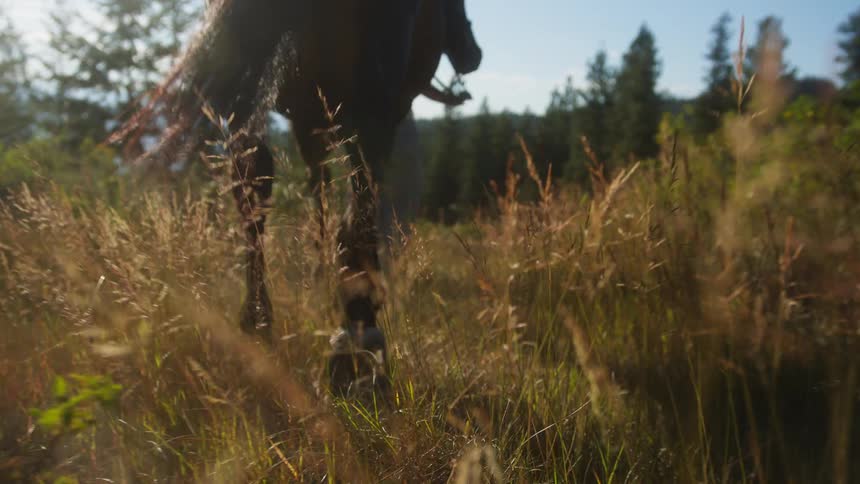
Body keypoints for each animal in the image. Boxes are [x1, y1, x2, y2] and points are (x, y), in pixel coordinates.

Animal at [116, 0, 482, 394]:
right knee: (362, 187)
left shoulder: (306, 119)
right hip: (372, 103)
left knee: (253, 188)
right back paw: (357, 337)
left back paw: (260, 320)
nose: (472, 55)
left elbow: (318, 188)